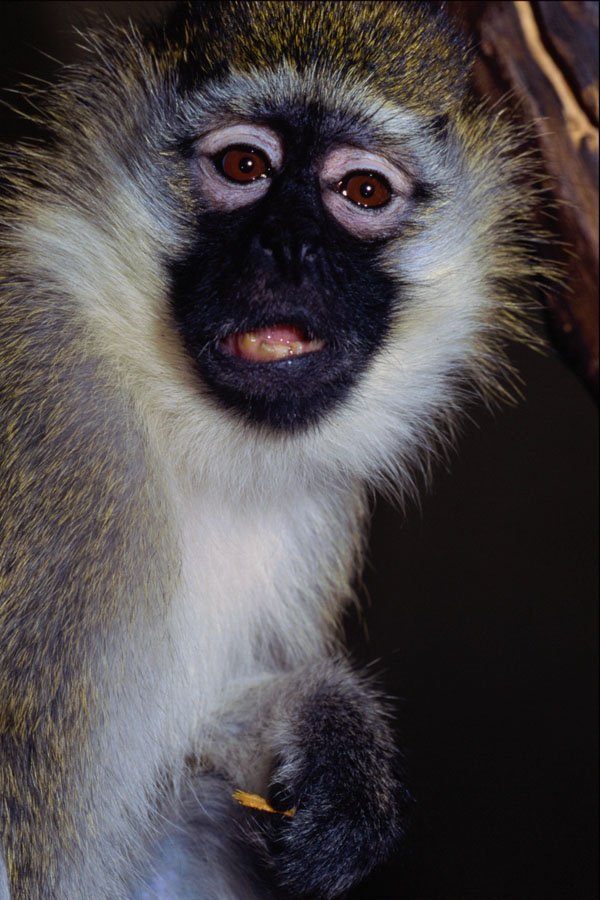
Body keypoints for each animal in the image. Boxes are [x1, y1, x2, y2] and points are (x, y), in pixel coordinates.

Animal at [0, 1, 547, 898]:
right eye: (245, 165)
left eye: (364, 190)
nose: (288, 247)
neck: (181, 428)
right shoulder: (43, 410)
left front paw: (332, 732)